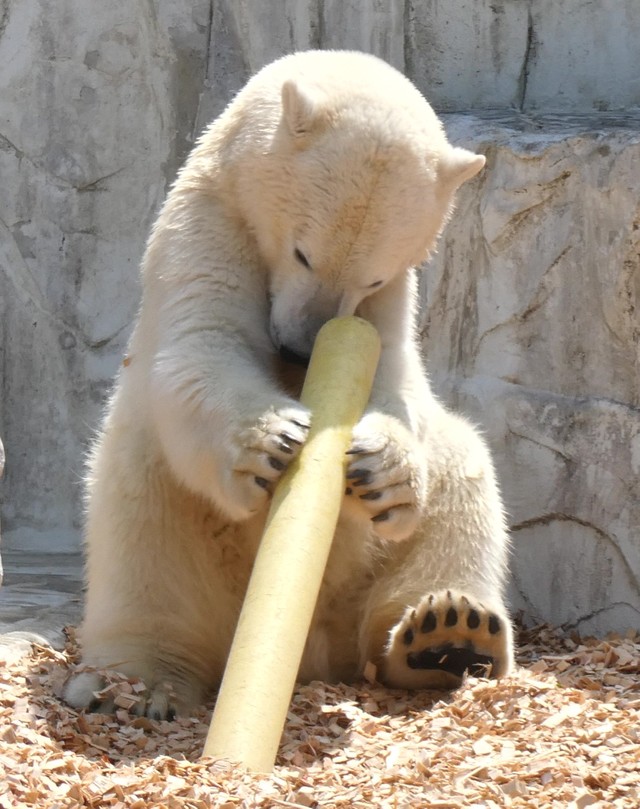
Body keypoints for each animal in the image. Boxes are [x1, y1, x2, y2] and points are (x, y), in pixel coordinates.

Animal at [63, 52, 516, 720]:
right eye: (303, 253)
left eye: (373, 274)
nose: (300, 348)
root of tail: (313, 654)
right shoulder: (210, 225)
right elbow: (202, 344)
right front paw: (273, 438)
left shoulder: (390, 305)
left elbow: (394, 381)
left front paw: (381, 468)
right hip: (155, 502)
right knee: (144, 544)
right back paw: (133, 682)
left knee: (461, 480)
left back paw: (447, 634)